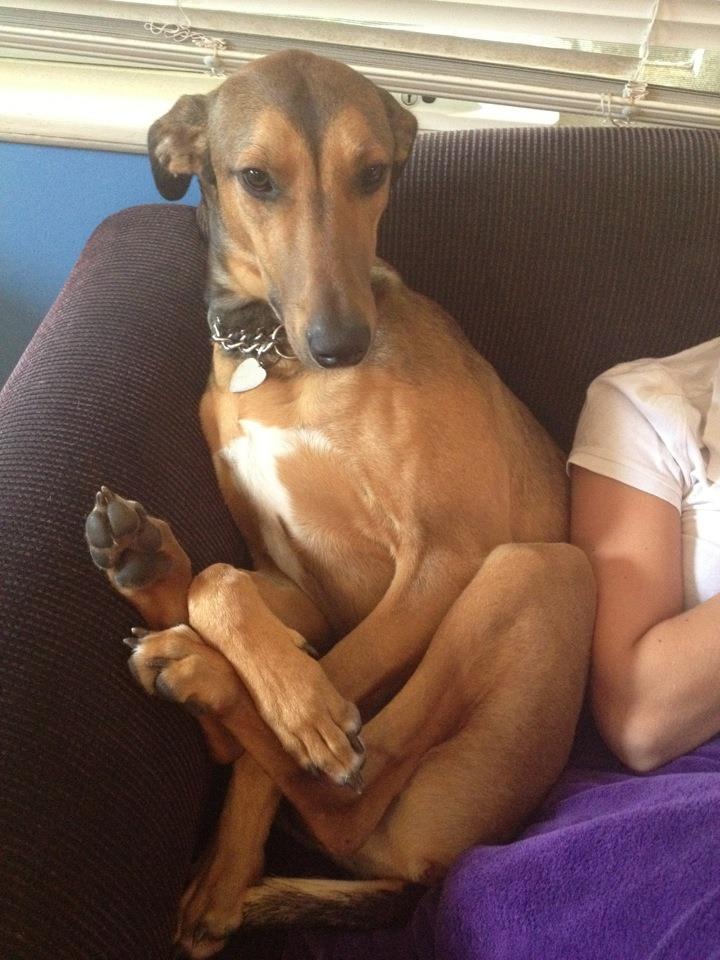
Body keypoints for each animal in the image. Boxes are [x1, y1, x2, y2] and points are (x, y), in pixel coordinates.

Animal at [84, 49, 595, 958]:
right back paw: (147, 566)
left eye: (373, 174)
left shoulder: (441, 560)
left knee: (344, 801)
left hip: (534, 572)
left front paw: (309, 715)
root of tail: (424, 873)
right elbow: (222, 584)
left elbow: (327, 693)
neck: (275, 365)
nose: (342, 345)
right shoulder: (302, 589)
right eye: (256, 178)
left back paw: (199, 680)